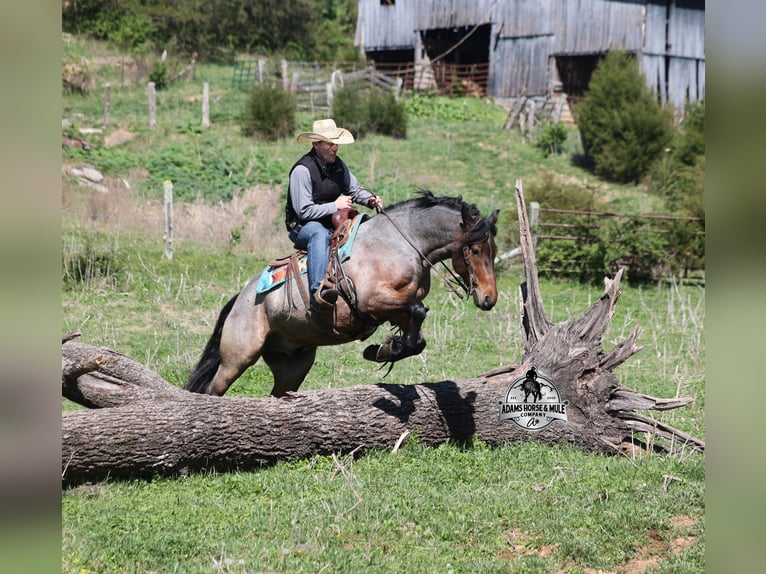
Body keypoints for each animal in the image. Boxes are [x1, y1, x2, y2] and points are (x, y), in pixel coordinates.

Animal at [184, 190, 499, 397]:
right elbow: (419, 312)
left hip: (293, 364)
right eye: (474, 250)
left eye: (493, 250)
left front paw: (384, 350)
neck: (399, 242)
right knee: (213, 390)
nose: (489, 298)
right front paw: (383, 350)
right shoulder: (372, 301)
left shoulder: (399, 308)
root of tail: (241, 298)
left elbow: (417, 330)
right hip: (238, 357)